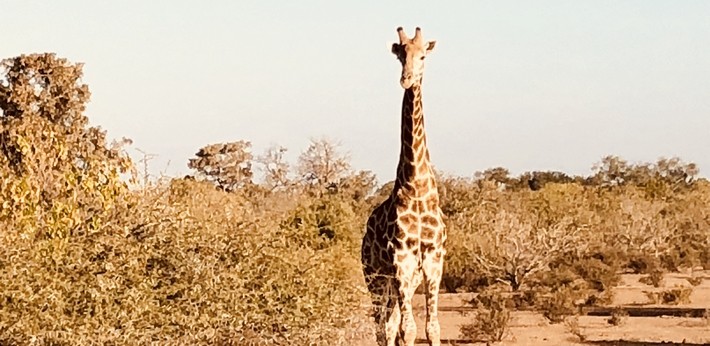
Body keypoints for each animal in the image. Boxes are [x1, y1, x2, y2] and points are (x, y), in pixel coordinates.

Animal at [364, 27, 448, 346]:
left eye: (422, 55)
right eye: (400, 55)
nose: (407, 79)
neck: (418, 186)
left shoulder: (433, 259)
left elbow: (432, 327)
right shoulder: (402, 260)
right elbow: (408, 329)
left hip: (402, 280)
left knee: (390, 322)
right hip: (375, 276)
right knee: (382, 327)